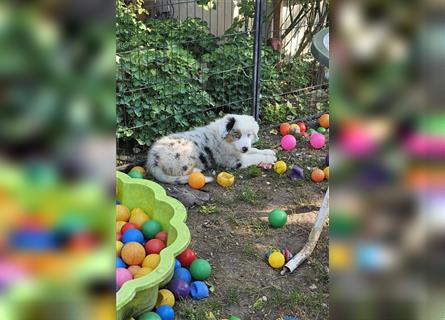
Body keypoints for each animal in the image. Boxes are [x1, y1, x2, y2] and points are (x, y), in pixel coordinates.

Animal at [147, 114, 276, 184]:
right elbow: (254, 157)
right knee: (181, 171)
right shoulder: (234, 160)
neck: (227, 141)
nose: (244, 148)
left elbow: (255, 150)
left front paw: (269, 152)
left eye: (249, 135)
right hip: (185, 154)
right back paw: (197, 170)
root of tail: (152, 158)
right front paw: (270, 158)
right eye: (236, 135)